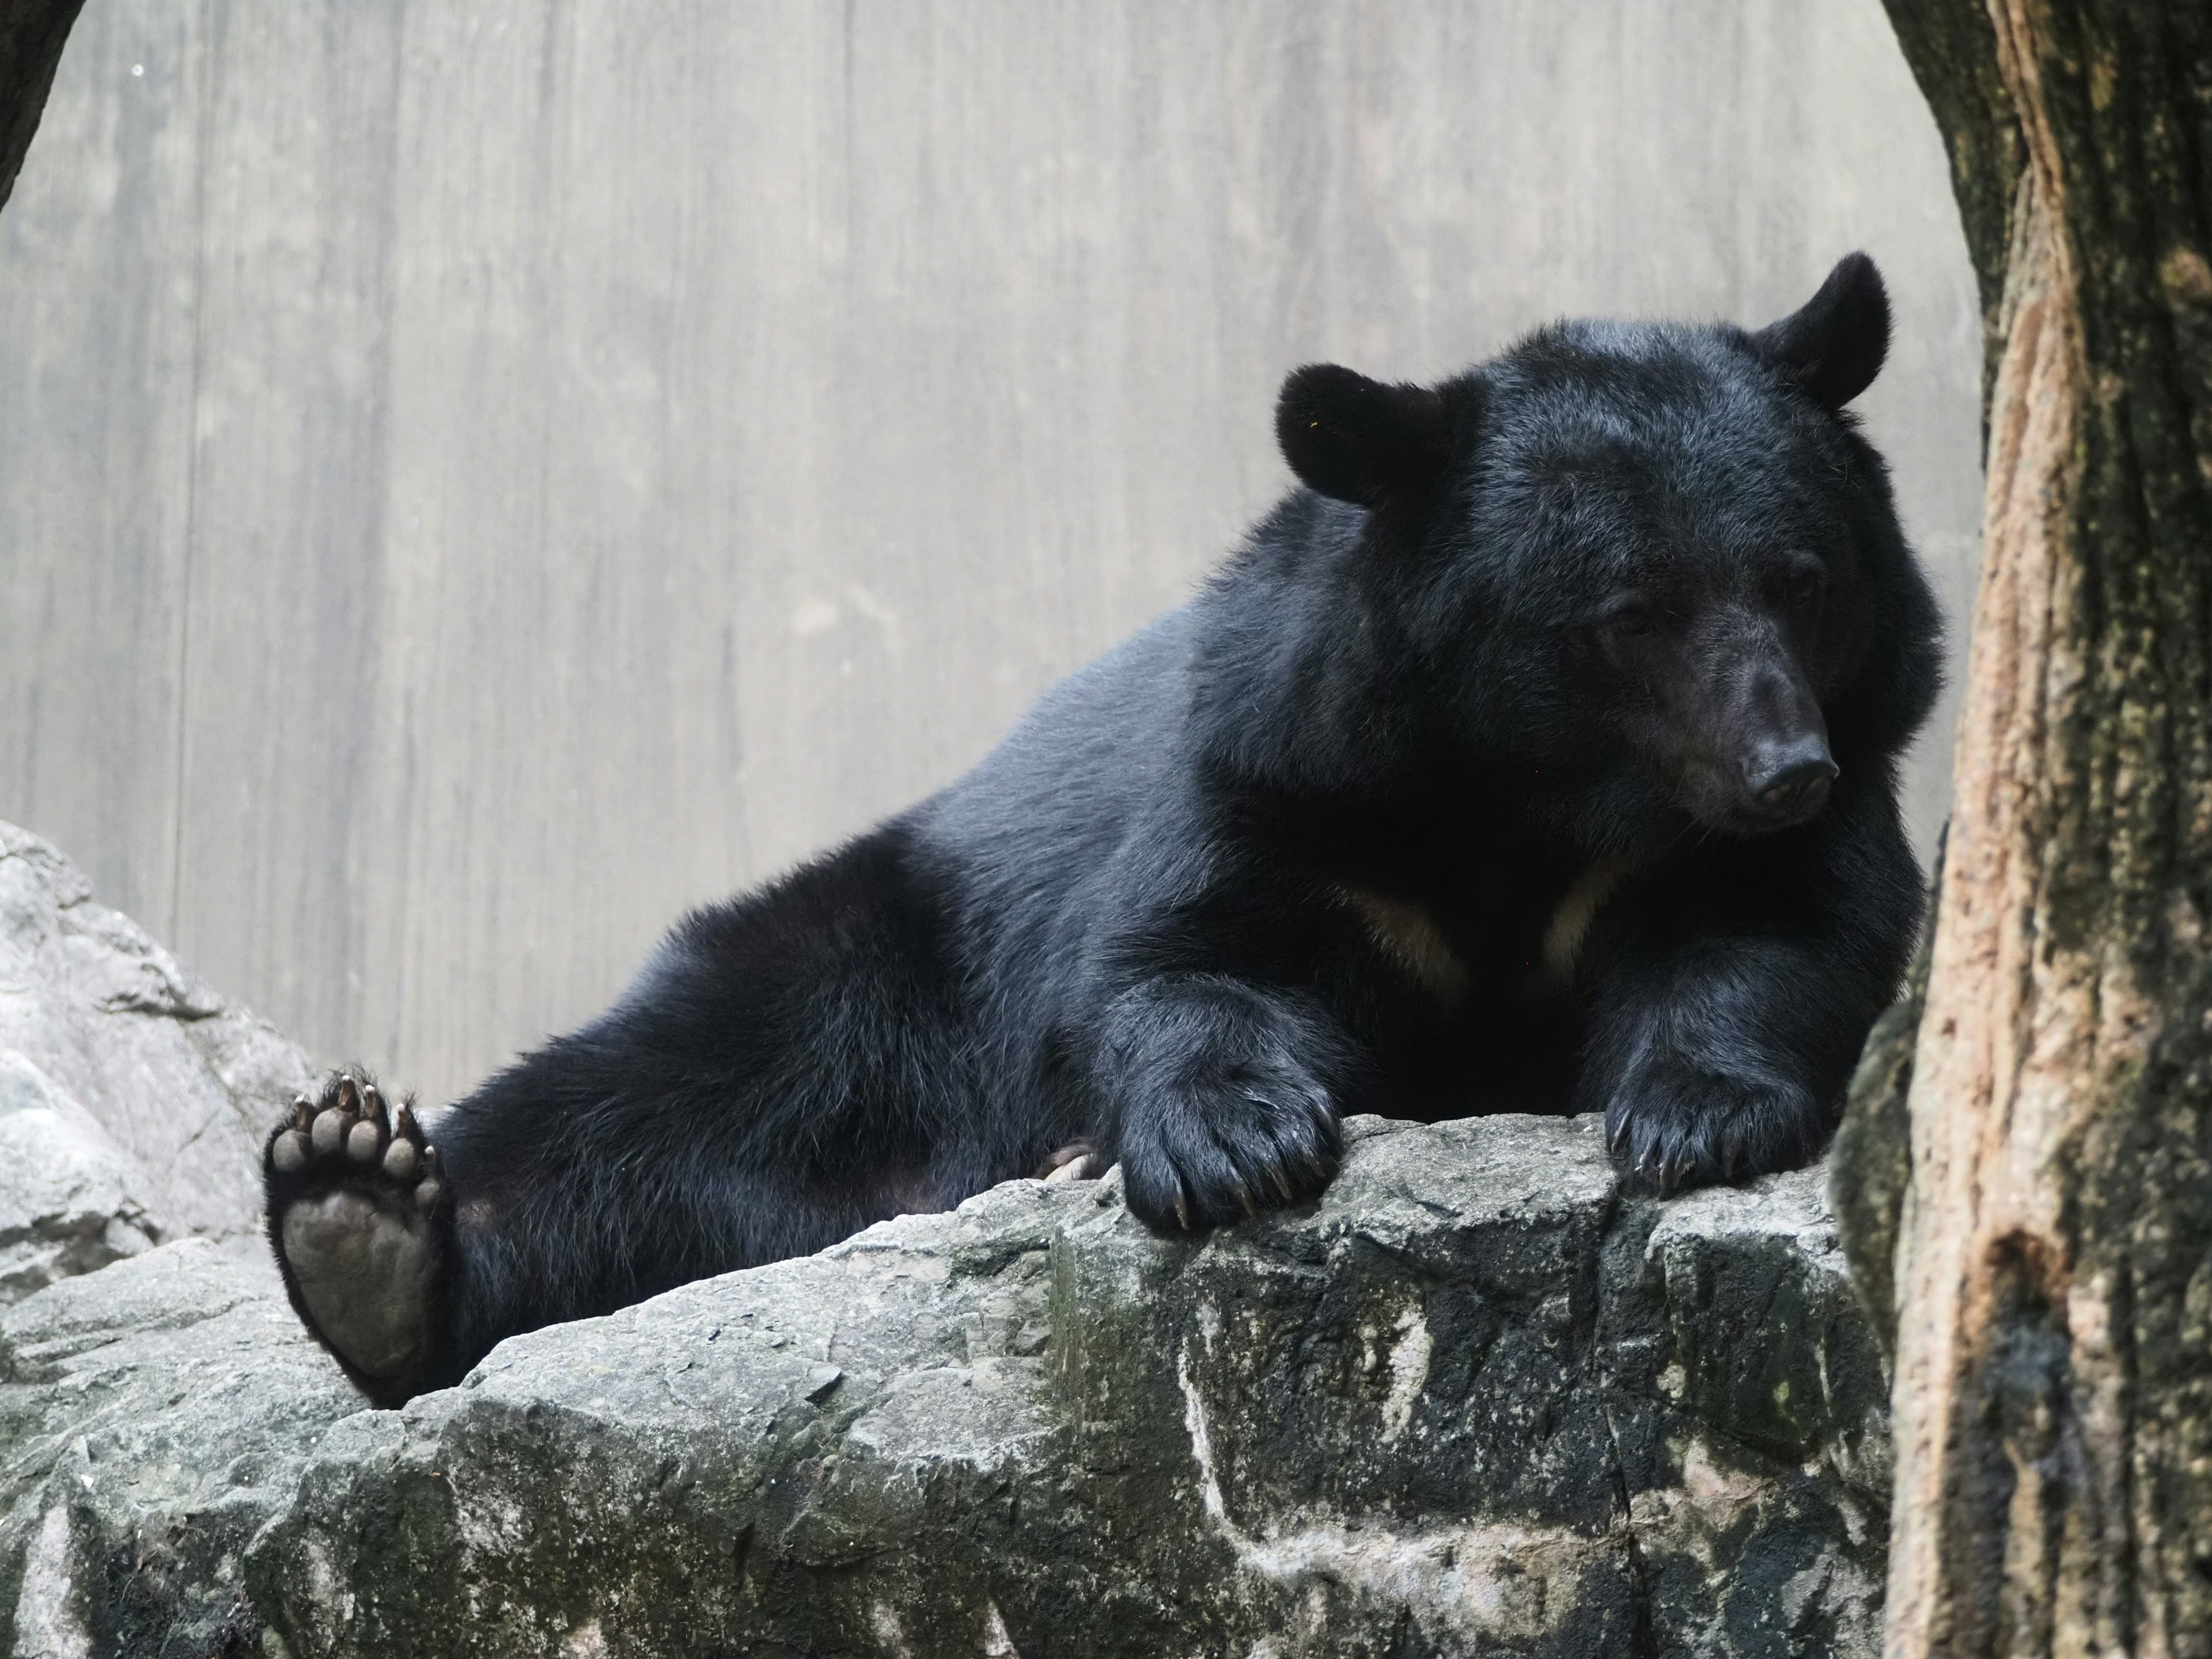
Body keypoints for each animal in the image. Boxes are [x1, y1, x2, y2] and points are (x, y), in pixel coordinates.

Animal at [267, 256, 1946, 1407]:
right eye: (1627, 614)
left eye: (1800, 581)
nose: (1783, 768)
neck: (1527, 803)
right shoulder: (1286, 782)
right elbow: (1191, 962)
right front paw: (1234, 1148)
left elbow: (1780, 929)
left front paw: (1689, 1114)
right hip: (879, 975)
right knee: (645, 1104)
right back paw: (362, 1213)